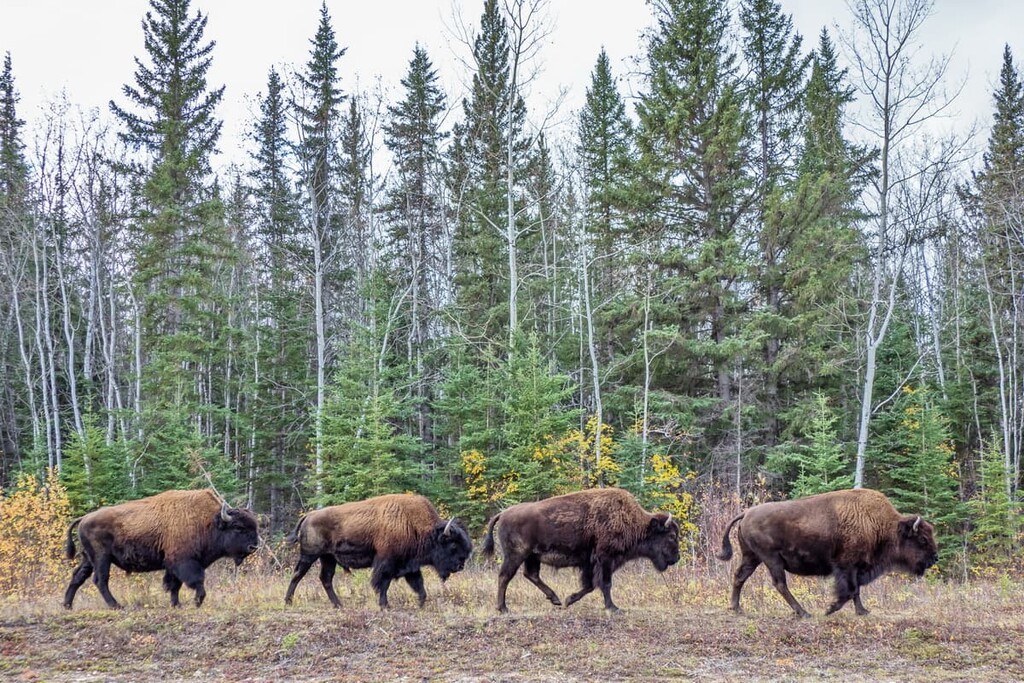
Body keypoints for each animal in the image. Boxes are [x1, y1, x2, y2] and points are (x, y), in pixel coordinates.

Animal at [63, 489, 260, 610]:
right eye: (238, 527)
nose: (254, 546)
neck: (209, 521)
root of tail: (84, 518)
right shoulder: (185, 562)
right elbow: (196, 581)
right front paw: (197, 602)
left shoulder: (172, 565)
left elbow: (174, 585)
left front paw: (176, 605)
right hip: (101, 558)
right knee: (100, 580)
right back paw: (116, 606)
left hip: (88, 559)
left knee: (78, 577)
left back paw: (67, 605)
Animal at [284, 493, 472, 609]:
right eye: (453, 545)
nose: (460, 565)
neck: (414, 525)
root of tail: (309, 515)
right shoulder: (386, 562)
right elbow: (382, 583)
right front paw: (384, 605)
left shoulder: (410, 565)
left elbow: (419, 585)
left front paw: (420, 603)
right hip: (309, 555)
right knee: (297, 575)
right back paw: (288, 601)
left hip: (328, 558)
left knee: (326, 579)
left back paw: (338, 604)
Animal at [481, 487, 680, 613]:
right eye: (671, 536)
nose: (676, 557)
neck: (631, 520)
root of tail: (503, 513)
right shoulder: (605, 559)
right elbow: (605, 583)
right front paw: (613, 608)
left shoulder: (590, 564)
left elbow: (590, 585)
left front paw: (568, 600)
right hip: (516, 555)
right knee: (505, 576)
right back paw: (503, 608)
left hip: (532, 556)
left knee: (531, 574)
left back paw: (555, 599)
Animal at [718, 488, 939, 617]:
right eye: (922, 539)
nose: (934, 558)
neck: (880, 525)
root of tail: (747, 513)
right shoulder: (847, 566)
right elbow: (849, 590)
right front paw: (830, 609)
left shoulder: (856, 568)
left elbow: (856, 591)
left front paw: (862, 611)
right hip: (771, 559)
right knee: (780, 584)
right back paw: (803, 612)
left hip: (752, 557)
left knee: (740, 576)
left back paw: (736, 608)